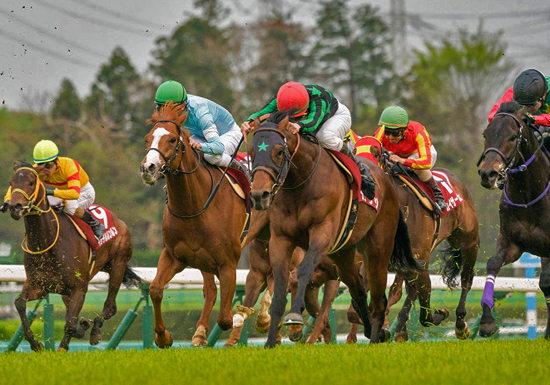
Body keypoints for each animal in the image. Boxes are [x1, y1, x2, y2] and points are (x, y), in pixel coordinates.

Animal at [5, 162, 138, 352]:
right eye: (11, 183)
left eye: (31, 182)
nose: (14, 207)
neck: (48, 242)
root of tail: (119, 220)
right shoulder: (39, 285)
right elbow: (20, 303)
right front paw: (36, 343)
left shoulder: (79, 288)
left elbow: (70, 324)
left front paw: (66, 344)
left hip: (117, 264)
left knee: (110, 307)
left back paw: (95, 330)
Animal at [141, 100, 256, 346]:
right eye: (147, 139)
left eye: (172, 140)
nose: (148, 168)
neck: (194, 207)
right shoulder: (174, 255)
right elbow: (155, 289)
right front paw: (163, 336)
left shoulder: (229, 262)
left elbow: (226, 318)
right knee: (211, 291)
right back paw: (200, 333)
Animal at [249, 109, 418, 346]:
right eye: (251, 151)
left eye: (279, 152)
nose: (259, 195)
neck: (301, 183)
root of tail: (387, 183)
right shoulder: (281, 239)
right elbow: (280, 288)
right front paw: (270, 342)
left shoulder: (323, 233)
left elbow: (303, 270)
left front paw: (295, 315)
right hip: (343, 253)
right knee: (357, 288)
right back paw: (369, 330)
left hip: (378, 249)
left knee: (378, 299)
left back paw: (376, 337)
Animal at [478, 100, 550, 338]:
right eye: (486, 134)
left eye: (511, 137)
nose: (488, 174)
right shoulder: (512, 242)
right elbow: (492, 263)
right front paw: (487, 322)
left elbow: (546, 281)